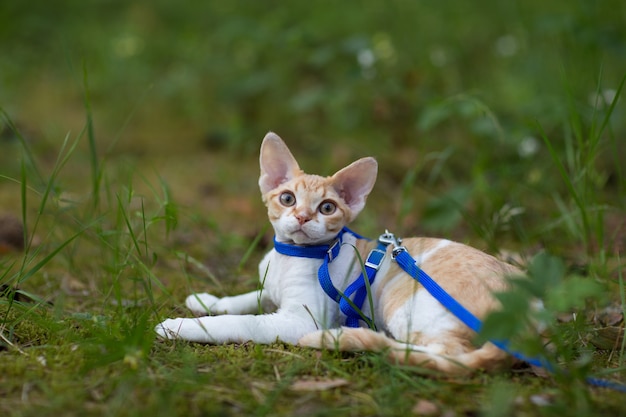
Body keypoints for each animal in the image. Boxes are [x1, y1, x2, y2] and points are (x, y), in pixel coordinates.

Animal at [155, 132, 516, 374]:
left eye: (327, 207)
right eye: (287, 198)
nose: (303, 216)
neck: (292, 256)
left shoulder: (300, 319)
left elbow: (242, 322)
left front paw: (182, 326)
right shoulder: (271, 291)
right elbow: (244, 299)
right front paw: (207, 301)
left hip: (400, 301)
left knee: (444, 355)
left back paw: (351, 338)